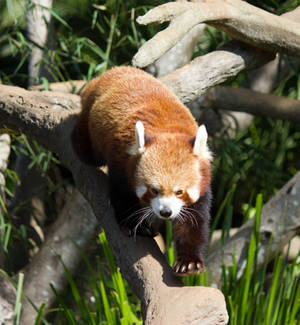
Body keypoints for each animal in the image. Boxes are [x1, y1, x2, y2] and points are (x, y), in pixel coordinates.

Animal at [72, 67, 212, 274]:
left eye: (179, 192)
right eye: (154, 190)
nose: (165, 212)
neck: (168, 131)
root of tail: (113, 71)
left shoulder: (202, 183)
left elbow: (193, 222)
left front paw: (189, 261)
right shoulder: (122, 162)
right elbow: (122, 196)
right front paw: (133, 225)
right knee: (86, 150)